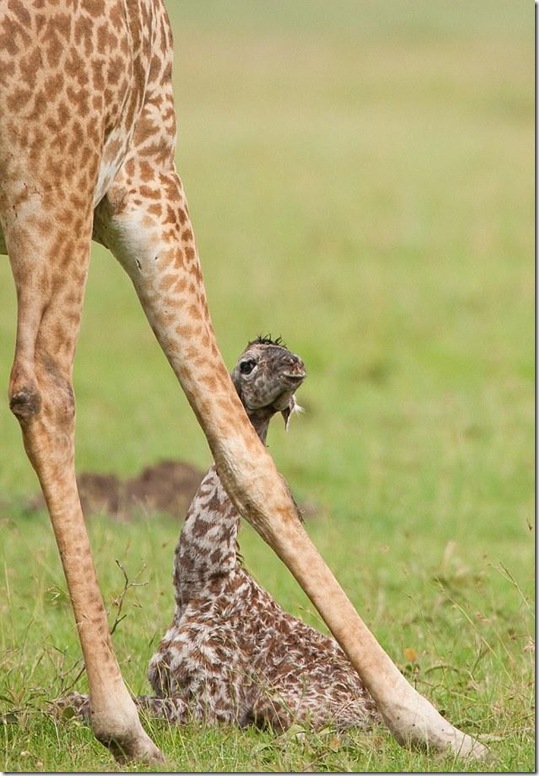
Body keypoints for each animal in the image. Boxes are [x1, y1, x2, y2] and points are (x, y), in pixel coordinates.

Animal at [0, 0, 487, 763]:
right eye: (254, 362)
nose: (285, 369)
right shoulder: (139, 165)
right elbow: (245, 457)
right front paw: (432, 724)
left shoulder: (131, 168)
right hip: (55, 178)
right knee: (43, 388)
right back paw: (125, 725)